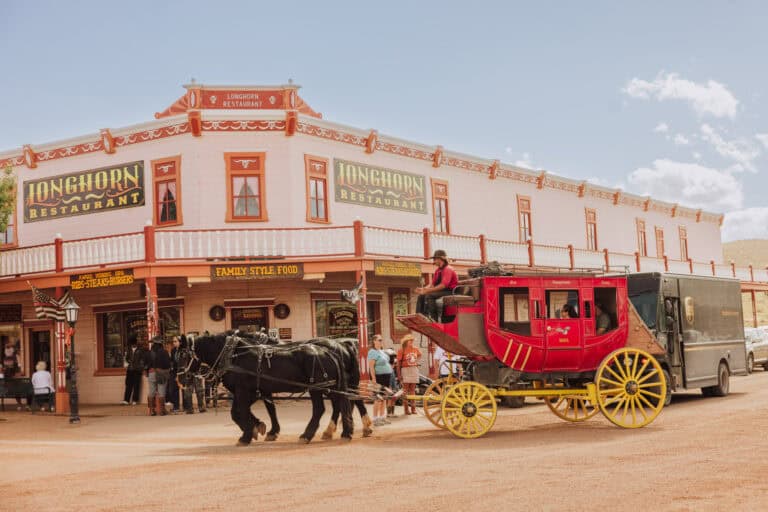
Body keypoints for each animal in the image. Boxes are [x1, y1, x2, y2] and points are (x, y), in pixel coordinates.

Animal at [192, 332, 360, 444]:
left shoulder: (244, 391)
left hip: (318, 387)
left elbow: (242, 411)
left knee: (323, 409)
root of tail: (330, 351)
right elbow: (251, 411)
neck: (235, 355)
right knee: (343, 403)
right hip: (331, 386)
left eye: (186, 353)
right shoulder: (255, 391)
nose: (188, 375)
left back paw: (308, 435)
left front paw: (248, 434)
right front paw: (259, 427)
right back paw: (345, 431)